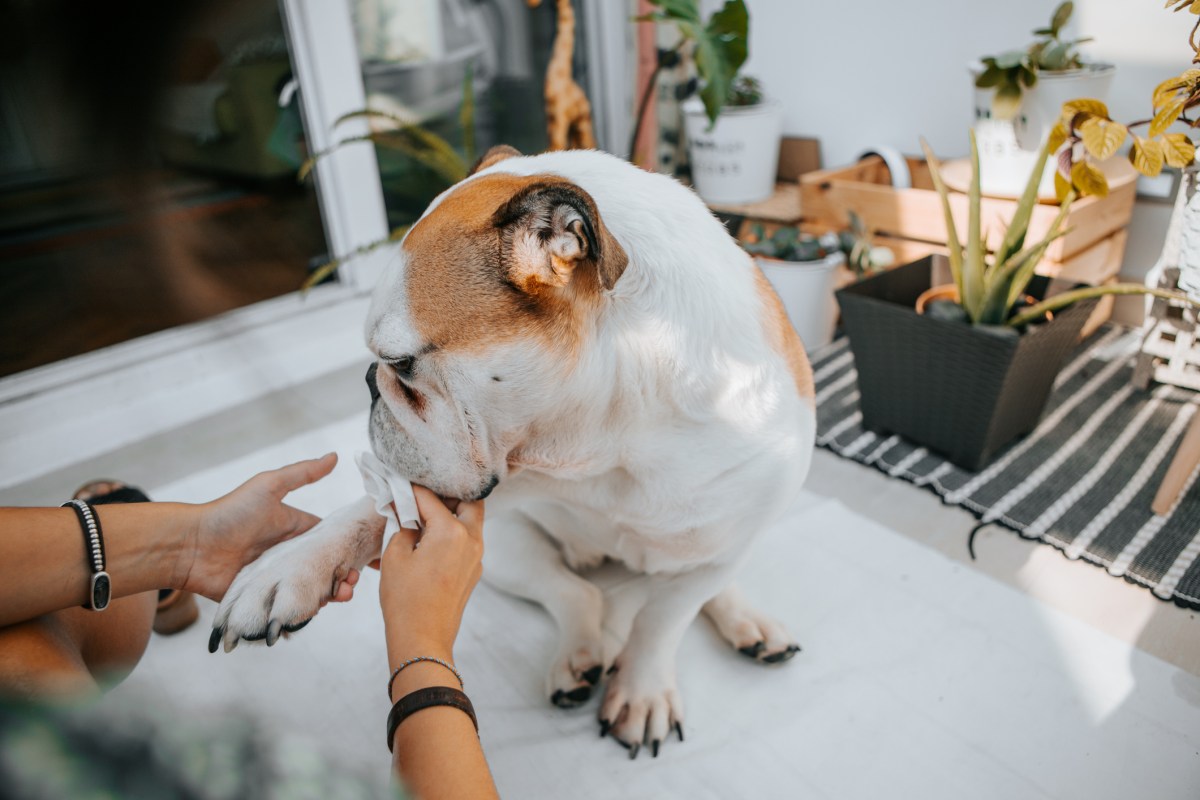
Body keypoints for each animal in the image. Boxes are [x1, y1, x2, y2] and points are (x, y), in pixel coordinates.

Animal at [213, 145, 816, 758]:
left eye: (400, 363)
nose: (368, 382)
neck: (616, 435)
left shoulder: (722, 544)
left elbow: (662, 619)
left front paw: (643, 690)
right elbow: (373, 508)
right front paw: (286, 568)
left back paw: (751, 625)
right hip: (505, 552)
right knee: (574, 593)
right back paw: (579, 657)